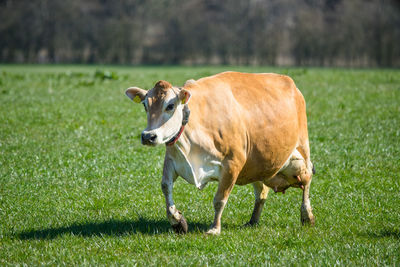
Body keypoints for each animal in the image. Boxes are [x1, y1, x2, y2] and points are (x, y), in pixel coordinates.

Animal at [125, 71, 316, 237]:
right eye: (145, 105)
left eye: (170, 106)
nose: (148, 136)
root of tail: (289, 82)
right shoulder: (172, 160)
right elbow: (166, 187)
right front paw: (177, 221)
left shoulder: (232, 164)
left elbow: (219, 200)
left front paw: (214, 228)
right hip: (259, 165)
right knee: (261, 192)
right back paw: (253, 220)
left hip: (302, 149)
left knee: (307, 180)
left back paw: (307, 215)